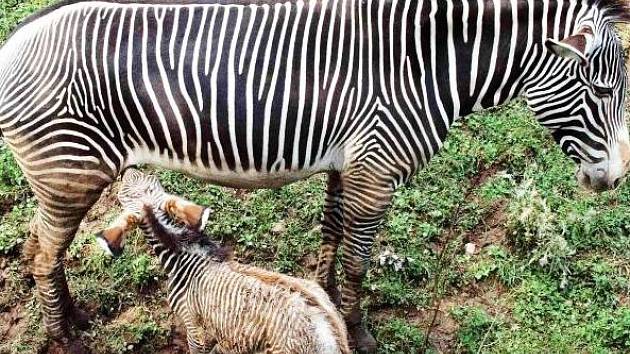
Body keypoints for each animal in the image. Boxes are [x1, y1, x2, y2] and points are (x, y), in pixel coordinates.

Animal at [0, 0, 628, 352]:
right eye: (602, 90)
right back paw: (66, 337)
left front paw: (325, 303)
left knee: (38, 246)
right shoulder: (376, 170)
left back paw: (70, 315)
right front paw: (359, 331)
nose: (617, 180)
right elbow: (357, 259)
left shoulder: (348, 165)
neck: (424, 66)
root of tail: (16, 37)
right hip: (70, 172)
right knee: (45, 254)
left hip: (57, 179)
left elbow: (331, 239)